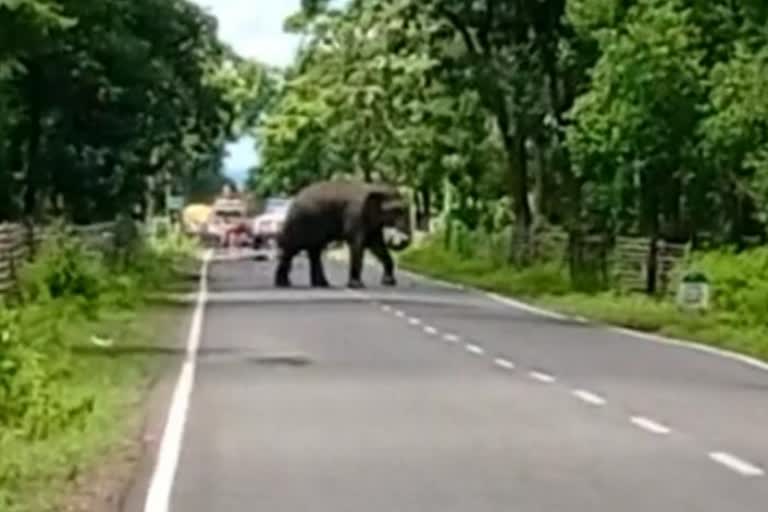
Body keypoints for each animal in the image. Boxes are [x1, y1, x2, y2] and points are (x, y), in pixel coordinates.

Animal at [272, 181, 412, 290]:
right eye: (397, 211)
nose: (394, 237)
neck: (374, 187)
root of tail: (294, 199)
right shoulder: (355, 215)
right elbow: (358, 245)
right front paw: (357, 286)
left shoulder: (371, 221)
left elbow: (377, 246)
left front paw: (389, 282)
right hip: (299, 223)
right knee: (292, 250)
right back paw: (283, 284)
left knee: (315, 251)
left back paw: (322, 285)